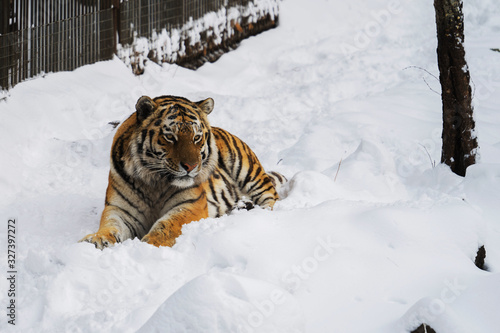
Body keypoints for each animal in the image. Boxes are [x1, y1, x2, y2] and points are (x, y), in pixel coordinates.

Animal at [80, 94, 288, 248]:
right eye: (170, 137)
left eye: (196, 138)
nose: (191, 166)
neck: (154, 182)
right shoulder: (119, 209)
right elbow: (110, 225)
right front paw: (97, 239)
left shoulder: (190, 205)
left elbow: (166, 225)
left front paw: (148, 244)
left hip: (246, 167)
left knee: (271, 196)